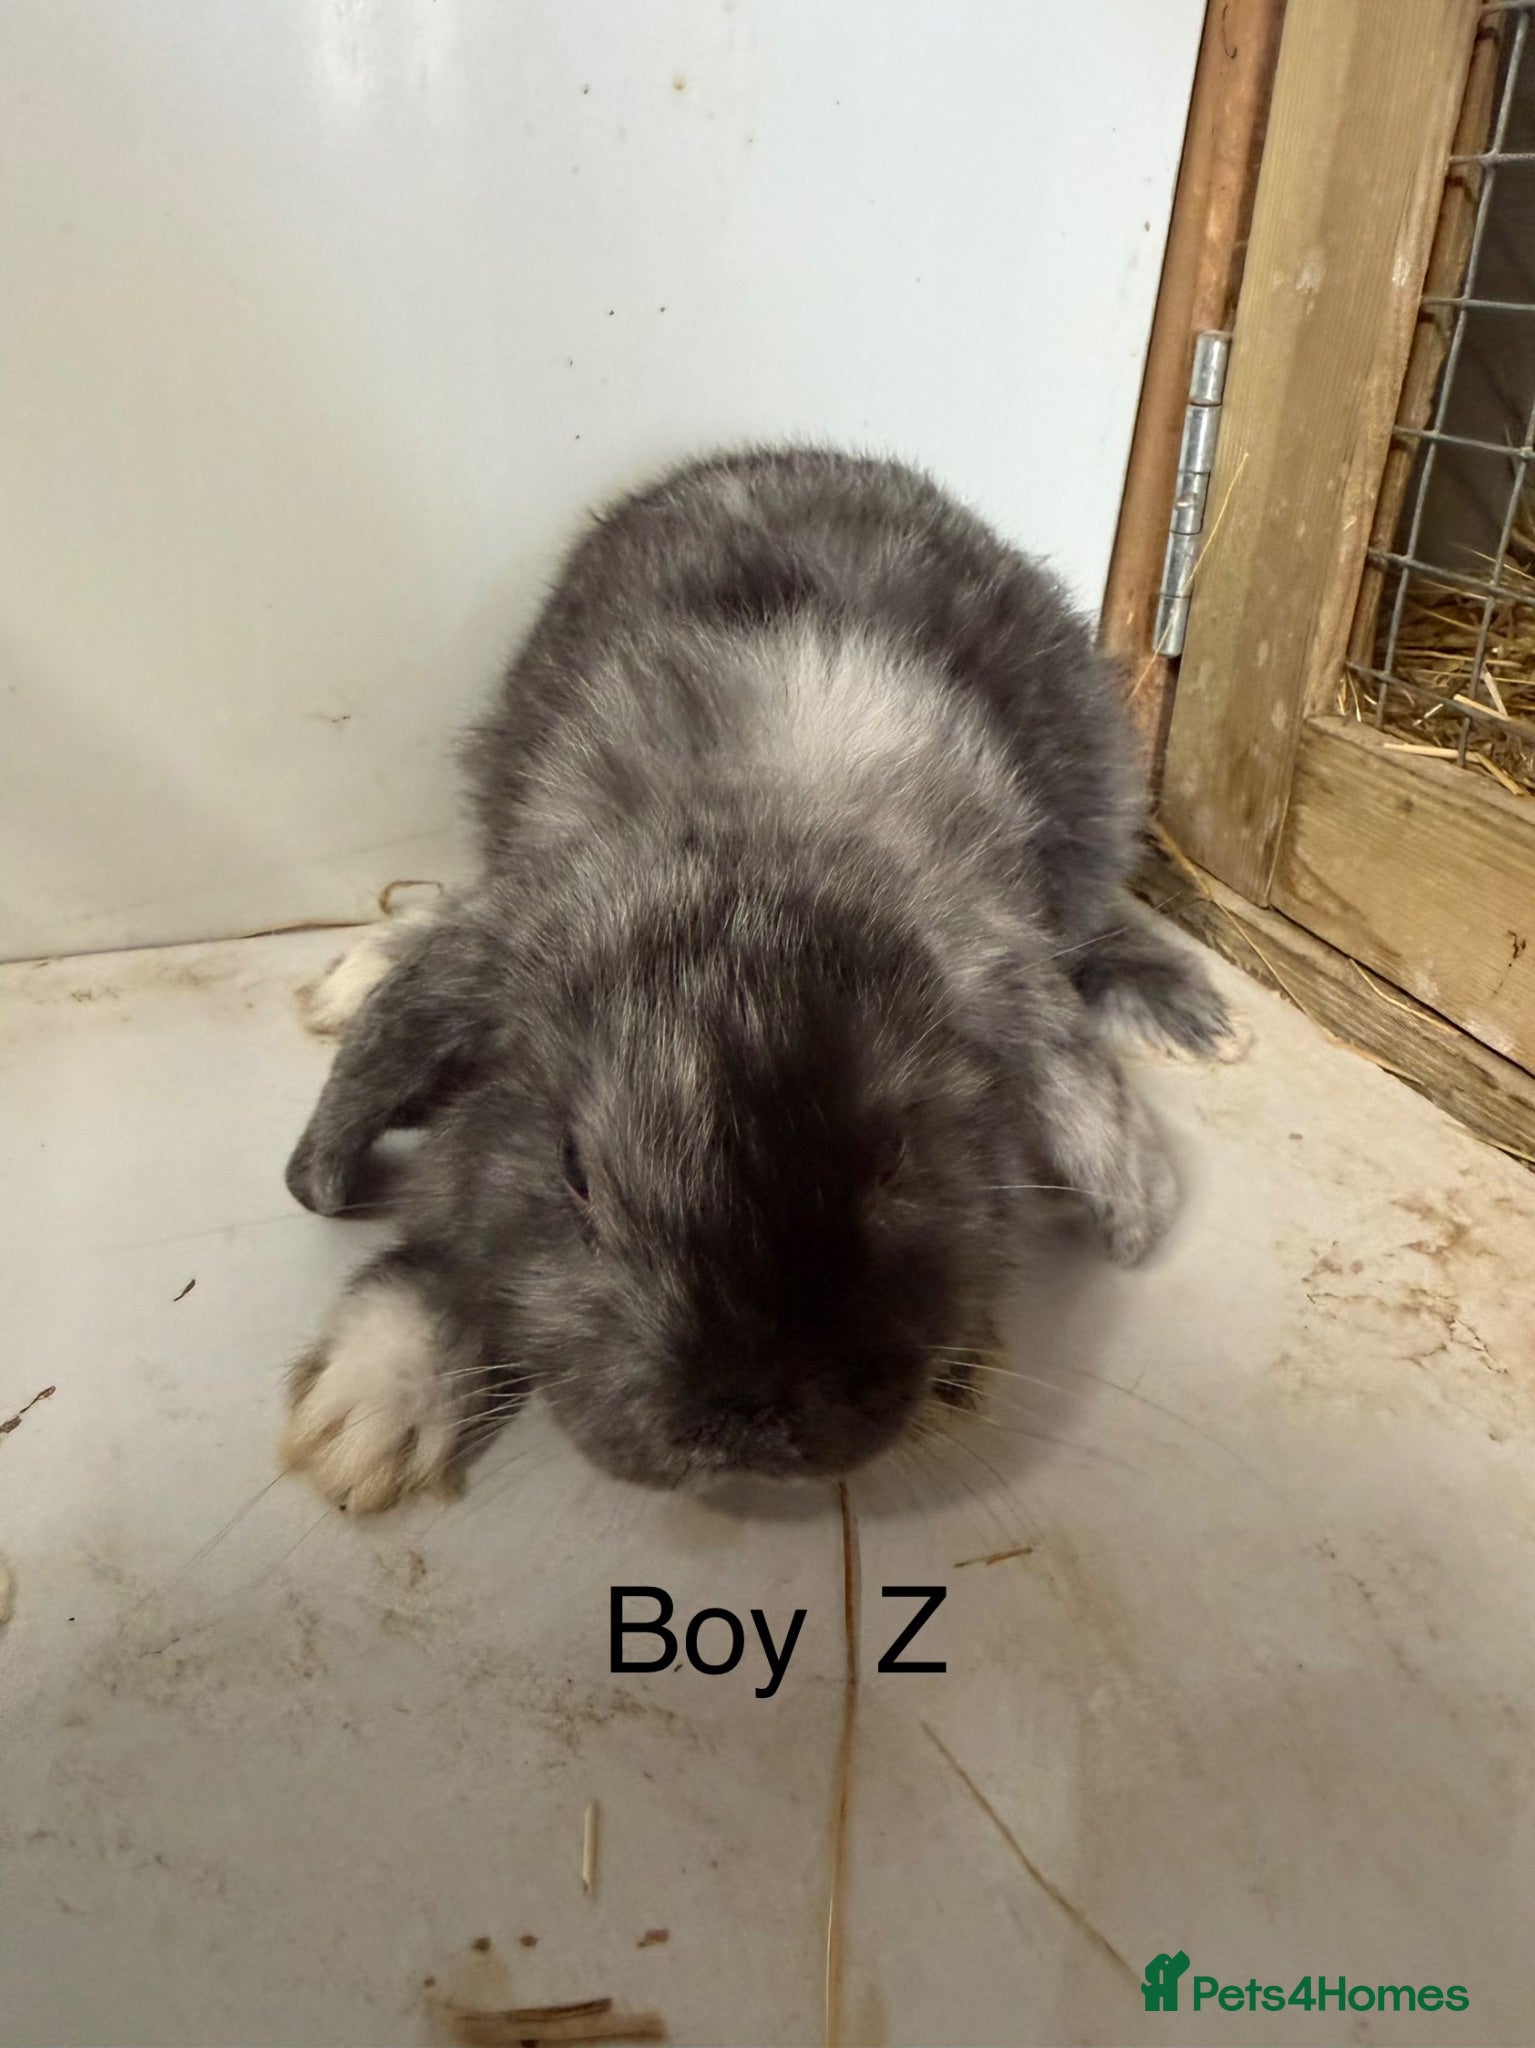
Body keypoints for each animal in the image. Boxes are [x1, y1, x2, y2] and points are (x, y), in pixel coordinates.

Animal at [281, 446, 1235, 1511]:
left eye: (894, 1161)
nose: (744, 1421)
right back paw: (360, 973)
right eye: (575, 1176)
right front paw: (368, 1412)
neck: (757, 819)